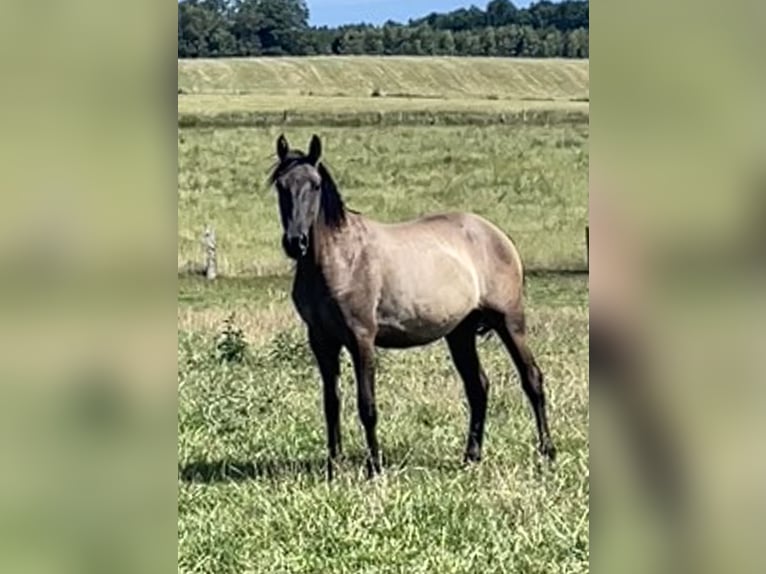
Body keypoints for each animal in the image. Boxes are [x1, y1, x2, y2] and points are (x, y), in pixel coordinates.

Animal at [269, 134, 556, 479]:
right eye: (281, 185)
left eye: (314, 185)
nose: (295, 242)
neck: (339, 259)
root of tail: (498, 236)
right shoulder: (321, 341)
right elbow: (331, 405)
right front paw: (333, 467)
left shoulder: (361, 338)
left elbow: (367, 406)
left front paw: (375, 467)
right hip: (460, 333)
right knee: (478, 387)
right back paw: (471, 456)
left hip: (509, 321)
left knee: (532, 379)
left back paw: (548, 452)